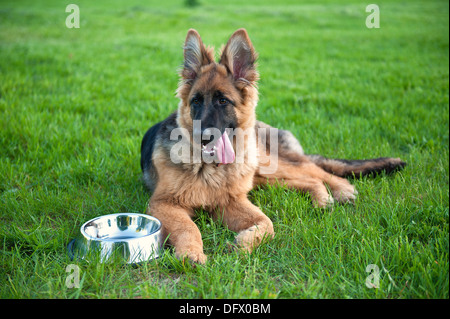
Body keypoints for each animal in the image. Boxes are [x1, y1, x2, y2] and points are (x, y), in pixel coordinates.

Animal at [140, 28, 404, 264]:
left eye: (223, 101)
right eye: (195, 101)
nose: (202, 137)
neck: (210, 168)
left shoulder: (230, 201)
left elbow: (268, 224)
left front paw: (243, 244)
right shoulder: (164, 203)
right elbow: (189, 227)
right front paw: (191, 254)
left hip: (270, 165)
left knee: (315, 171)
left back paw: (341, 190)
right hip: (264, 178)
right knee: (308, 180)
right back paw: (321, 199)